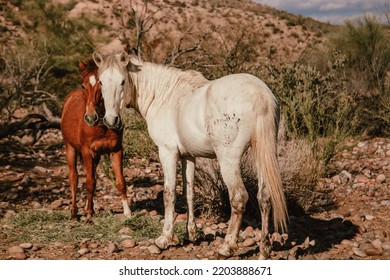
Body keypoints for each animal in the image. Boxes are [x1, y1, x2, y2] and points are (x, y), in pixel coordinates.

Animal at [93, 51, 288, 260]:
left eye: (122, 81)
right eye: (101, 82)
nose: (111, 120)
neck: (163, 95)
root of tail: (259, 95)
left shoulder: (167, 152)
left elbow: (169, 194)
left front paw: (165, 238)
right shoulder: (188, 156)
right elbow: (189, 194)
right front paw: (192, 234)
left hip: (228, 160)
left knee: (239, 197)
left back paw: (227, 247)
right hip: (262, 155)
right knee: (265, 197)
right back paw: (264, 250)